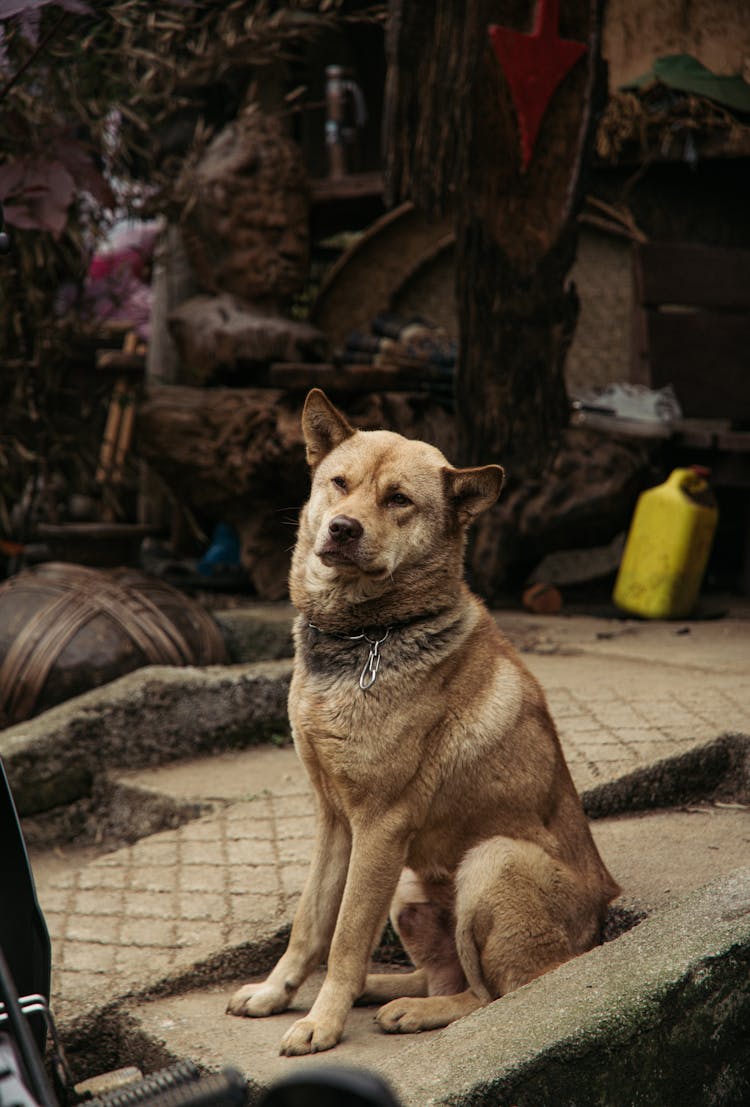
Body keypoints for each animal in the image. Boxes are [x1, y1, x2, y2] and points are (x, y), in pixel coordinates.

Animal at [228, 389, 623, 1053]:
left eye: (398, 500)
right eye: (339, 483)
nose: (341, 529)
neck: (367, 637)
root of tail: (597, 930)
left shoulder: (380, 827)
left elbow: (344, 939)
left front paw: (322, 1024)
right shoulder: (335, 820)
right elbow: (311, 923)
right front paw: (275, 994)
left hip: (490, 861)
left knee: (493, 994)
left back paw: (413, 1008)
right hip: (410, 888)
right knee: (444, 972)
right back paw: (392, 993)